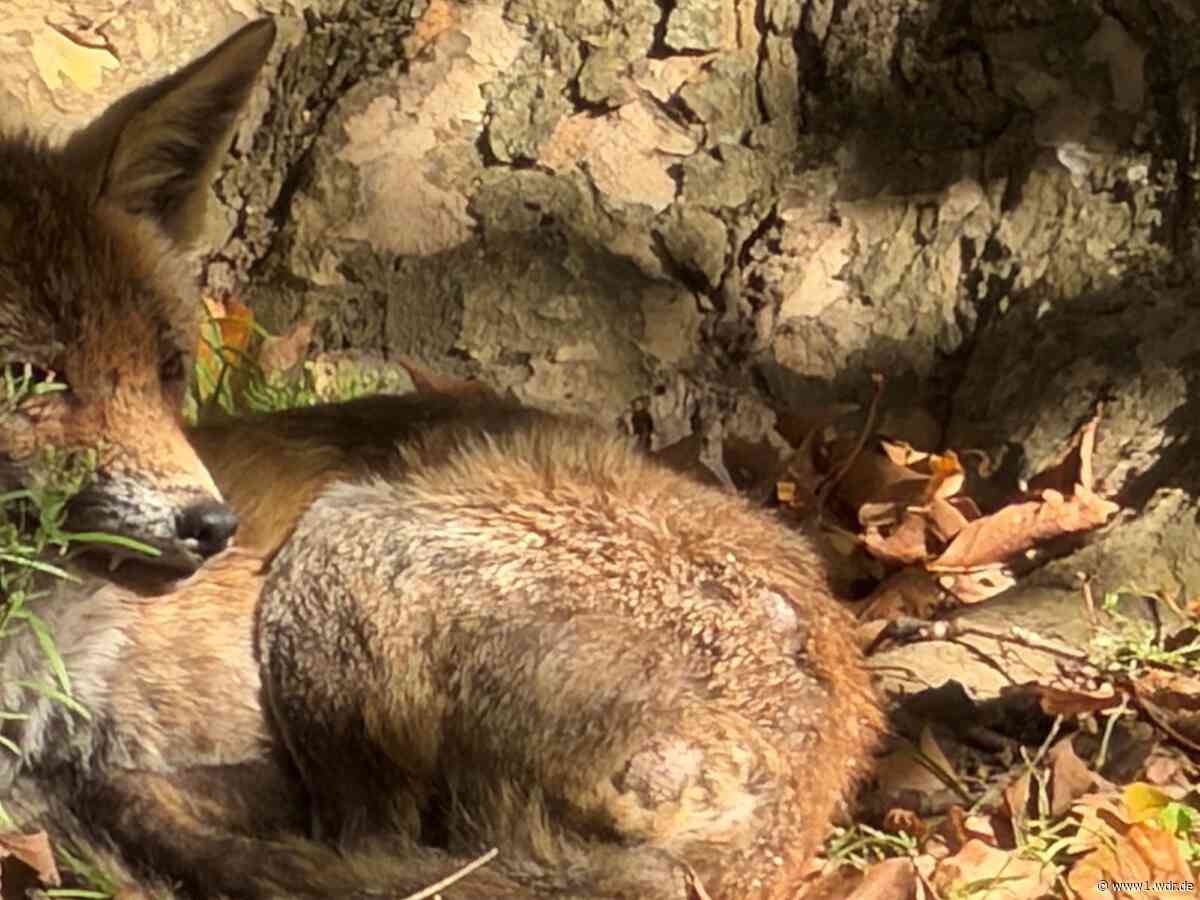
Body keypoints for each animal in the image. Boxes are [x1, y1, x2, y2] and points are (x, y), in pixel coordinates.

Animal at [0, 15, 883, 900]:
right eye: (27, 376)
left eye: (167, 369)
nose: (214, 525)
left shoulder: (250, 759)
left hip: (341, 553)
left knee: (372, 844)